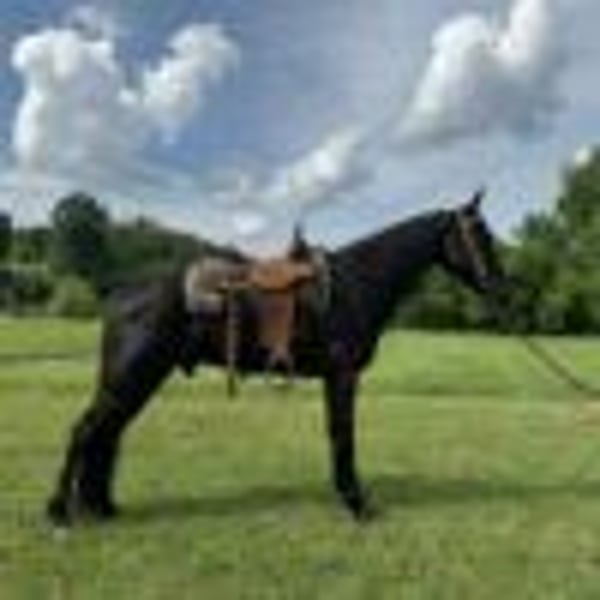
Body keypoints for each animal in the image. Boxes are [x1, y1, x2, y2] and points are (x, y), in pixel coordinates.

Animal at [46, 189, 508, 526]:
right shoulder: (342, 376)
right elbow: (343, 436)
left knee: (108, 434)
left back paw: (101, 507)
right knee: (86, 432)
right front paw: (357, 504)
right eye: (479, 234)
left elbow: (337, 436)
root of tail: (122, 295)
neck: (356, 282)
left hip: (139, 379)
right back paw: (58, 513)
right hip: (130, 377)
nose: (500, 285)